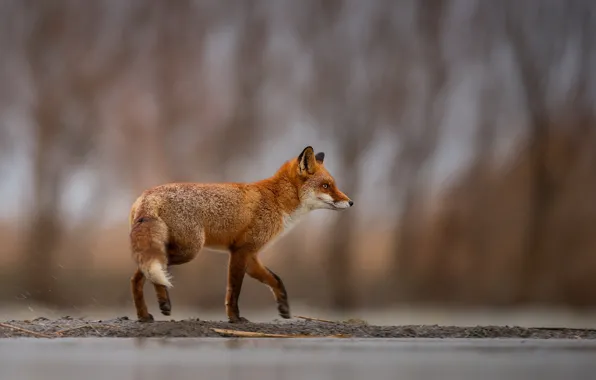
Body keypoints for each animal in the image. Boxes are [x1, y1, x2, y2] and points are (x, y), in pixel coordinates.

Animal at [128, 145, 352, 324]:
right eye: (326, 186)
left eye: (333, 185)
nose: (351, 202)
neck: (276, 200)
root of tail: (148, 195)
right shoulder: (240, 251)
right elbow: (234, 291)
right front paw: (234, 318)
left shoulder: (251, 254)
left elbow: (275, 279)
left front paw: (284, 307)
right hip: (189, 250)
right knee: (144, 272)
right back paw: (161, 303)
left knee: (140, 276)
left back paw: (144, 315)